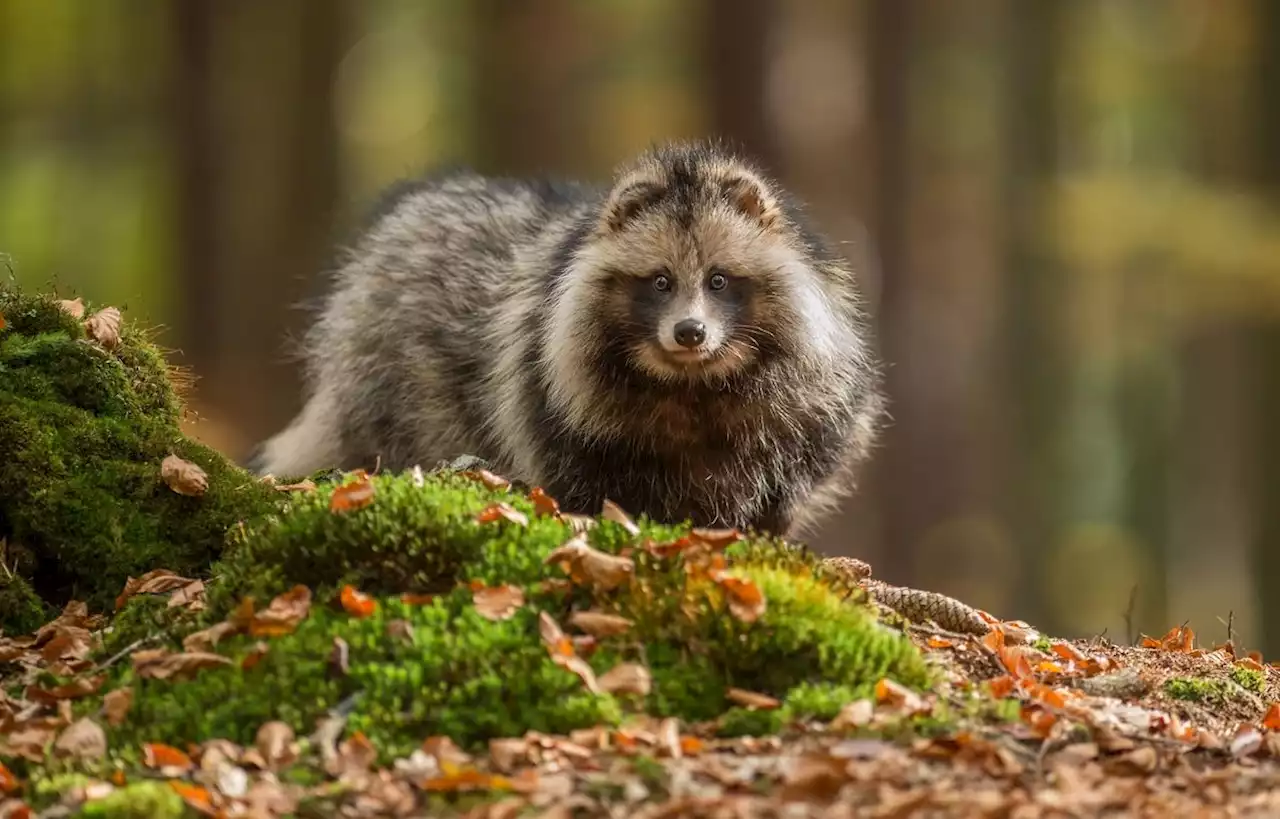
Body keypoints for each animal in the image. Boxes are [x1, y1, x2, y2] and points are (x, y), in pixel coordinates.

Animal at [254, 140, 885, 537]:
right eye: (660, 281)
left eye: (719, 280)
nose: (690, 332)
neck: (693, 383)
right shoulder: (556, 389)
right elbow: (586, 475)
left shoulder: (809, 398)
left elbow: (795, 466)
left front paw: (763, 528)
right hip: (390, 377)